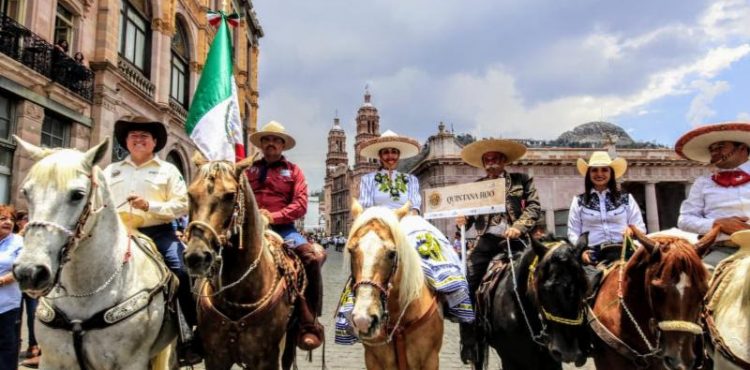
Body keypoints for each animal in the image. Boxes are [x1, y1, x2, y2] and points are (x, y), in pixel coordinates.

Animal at [11, 137, 176, 370]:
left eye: (78, 195)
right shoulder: (52, 359)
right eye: (26, 192)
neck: (85, 291)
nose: (30, 272)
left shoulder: (132, 362)